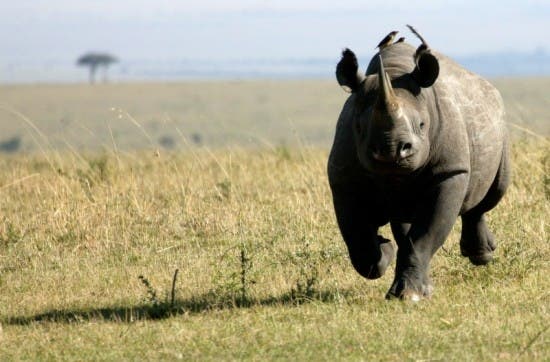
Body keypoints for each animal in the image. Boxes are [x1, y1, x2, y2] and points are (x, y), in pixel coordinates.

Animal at [328, 26, 512, 302]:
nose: (391, 151)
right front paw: (385, 250)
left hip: (497, 120)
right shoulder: (343, 178)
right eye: (359, 128)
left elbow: (424, 237)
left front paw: (409, 296)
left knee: (492, 193)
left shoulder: (450, 171)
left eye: (423, 125)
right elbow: (360, 242)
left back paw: (482, 256)